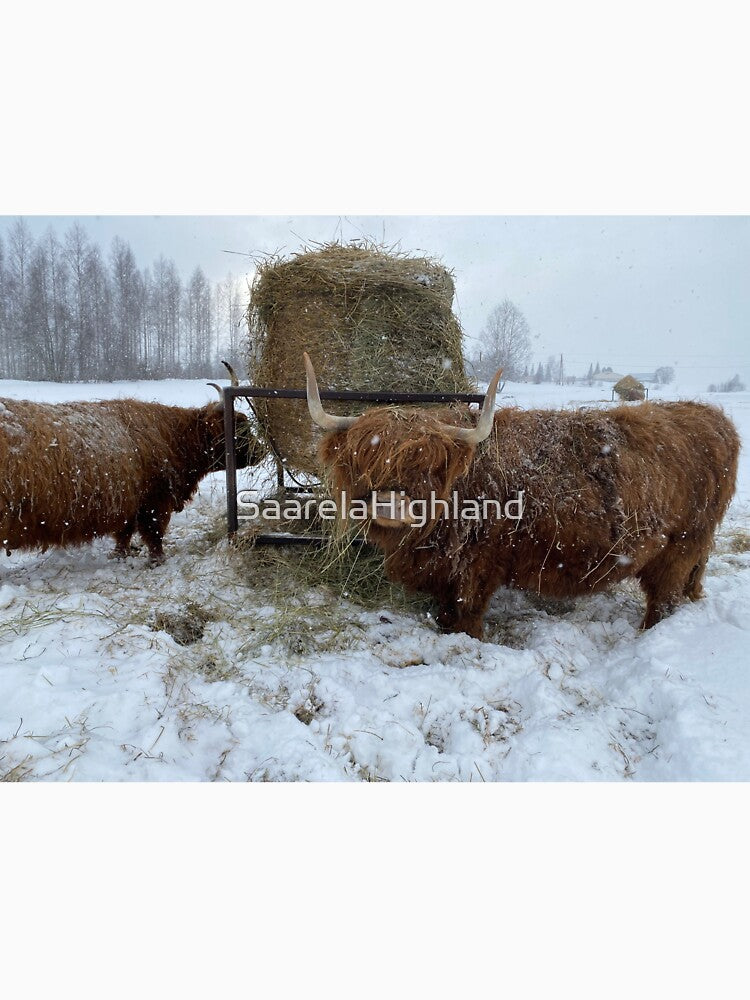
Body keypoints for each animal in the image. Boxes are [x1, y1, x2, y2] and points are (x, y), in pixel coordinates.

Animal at [0, 386, 266, 564]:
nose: (261, 451)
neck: (174, 438)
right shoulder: (155, 501)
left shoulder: (129, 503)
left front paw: (121, 554)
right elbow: (154, 533)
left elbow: (124, 533)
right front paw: (157, 560)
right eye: (240, 427)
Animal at [303, 352, 740, 639]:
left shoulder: (478, 564)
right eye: (364, 459)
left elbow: (467, 610)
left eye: (429, 465)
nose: (391, 506)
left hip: (683, 543)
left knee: (664, 598)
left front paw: (465, 637)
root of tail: (711, 417)